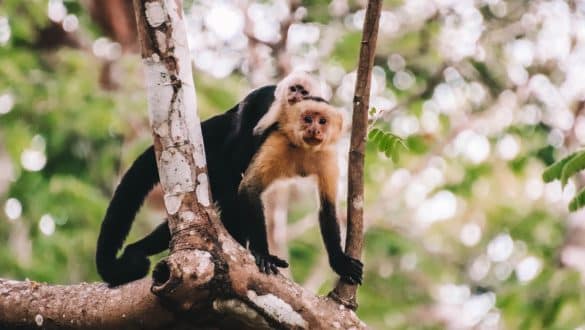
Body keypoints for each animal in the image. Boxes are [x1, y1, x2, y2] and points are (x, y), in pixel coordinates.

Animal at [96, 71, 320, 286]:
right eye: (294, 89)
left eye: (304, 92)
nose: (296, 96)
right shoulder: (269, 106)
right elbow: (244, 155)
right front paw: (263, 255)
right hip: (215, 162)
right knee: (228, 190)